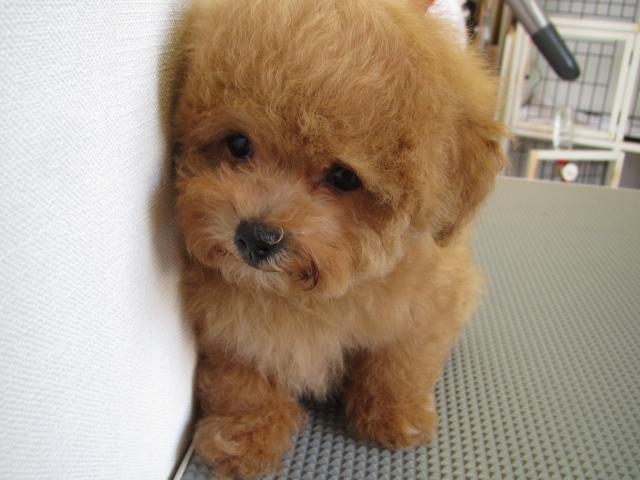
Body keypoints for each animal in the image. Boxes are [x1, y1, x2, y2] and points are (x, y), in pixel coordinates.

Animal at [172, 0, 505, 477]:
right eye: (238, 144)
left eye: (344, 177)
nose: (256, 236)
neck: (305, 299)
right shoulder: (230, 324)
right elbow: (241, 376)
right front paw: (244, 435)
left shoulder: (428, 302)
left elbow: (401, 358)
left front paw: (395, 413)